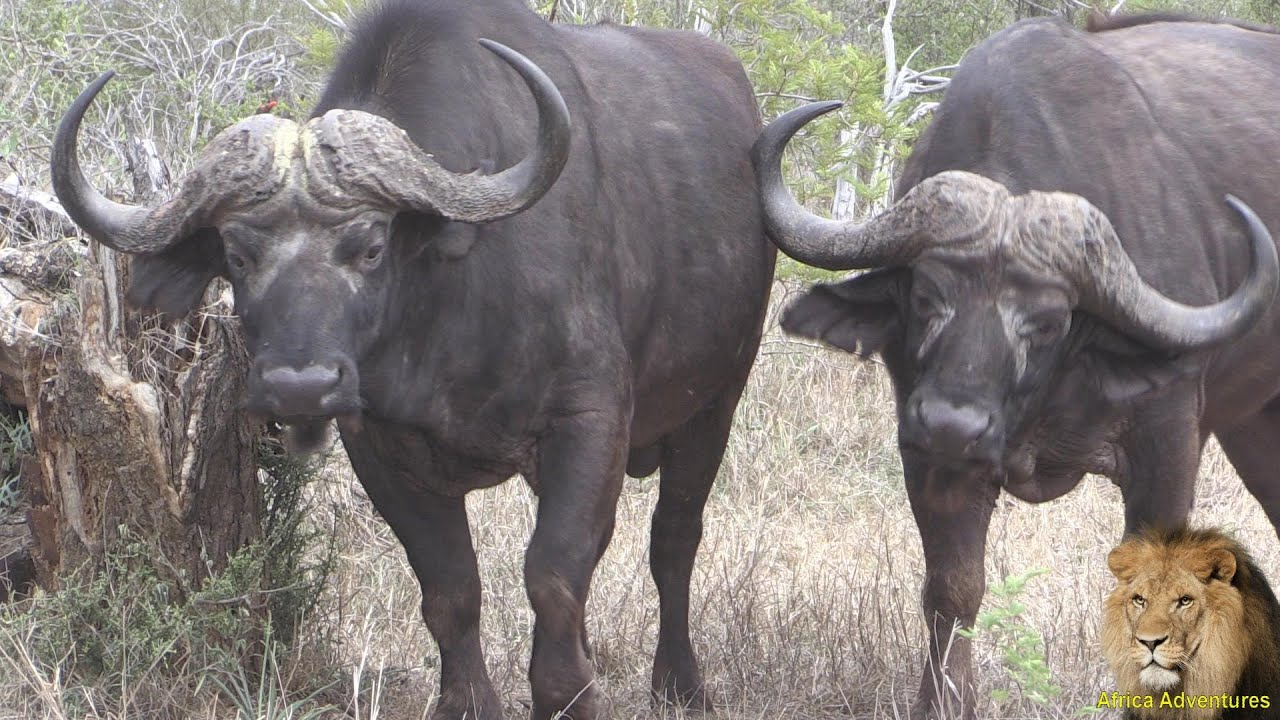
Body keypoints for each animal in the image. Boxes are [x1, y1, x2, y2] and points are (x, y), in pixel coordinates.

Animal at [52, 0, 774, 717]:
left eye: (371, 247)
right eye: (236, 256)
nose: (300, 387)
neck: (450, 318)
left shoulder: (589, 421)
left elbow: (553, 572)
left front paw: (567, 693)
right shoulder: (380, 448)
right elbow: (451, 588)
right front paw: (470, 700)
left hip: (716, 402)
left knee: (673, 538)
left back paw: (680, 683)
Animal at [753, 13, 1280, 718]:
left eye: (1048, 322)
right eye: (927, 297)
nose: (952, 424)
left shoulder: (1167, 447)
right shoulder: (928, 458)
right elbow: (953, 589)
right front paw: (943, 702)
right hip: (1256, 424)